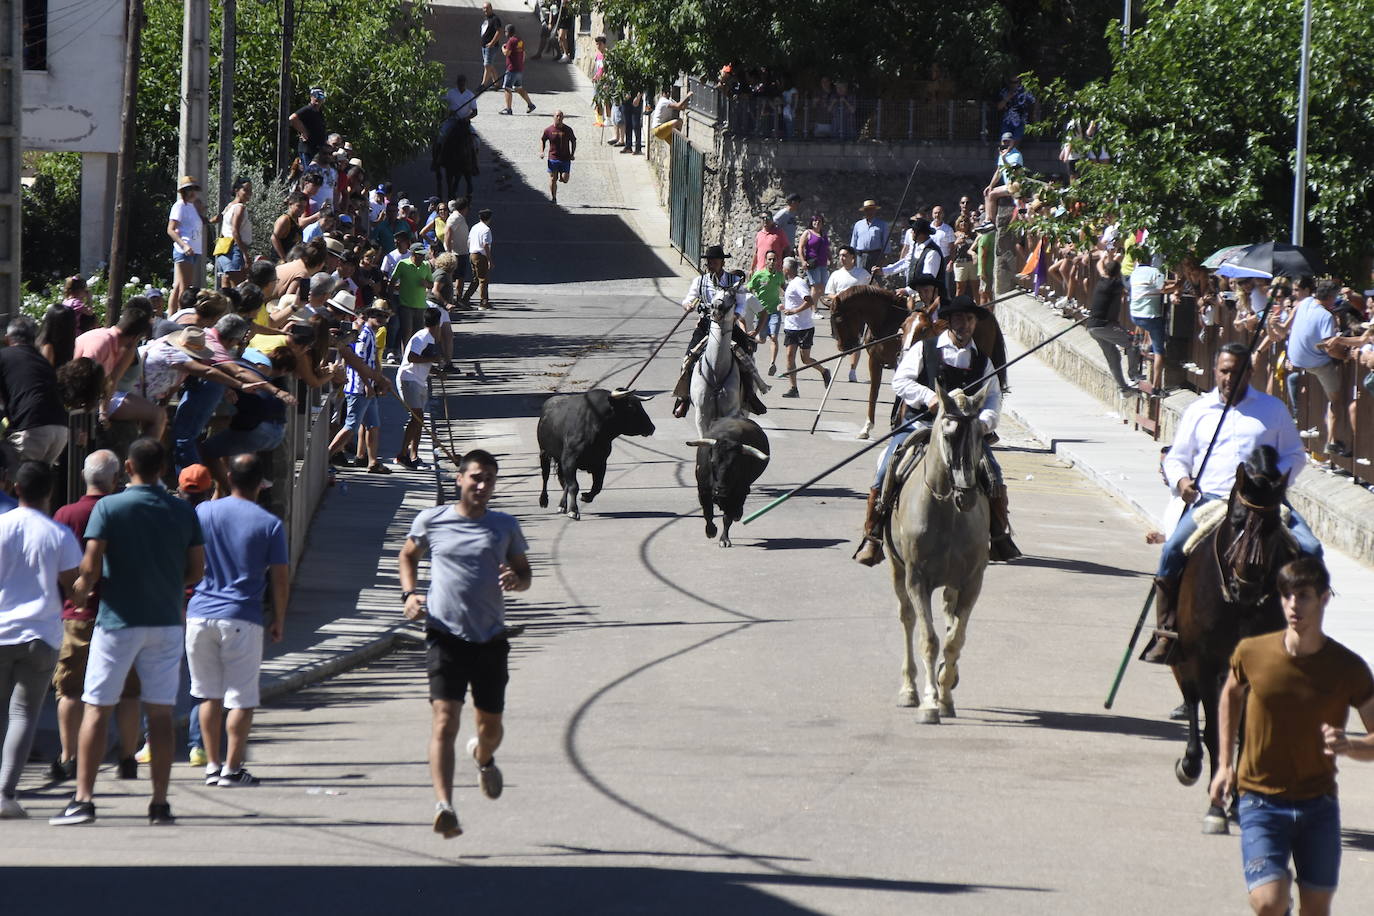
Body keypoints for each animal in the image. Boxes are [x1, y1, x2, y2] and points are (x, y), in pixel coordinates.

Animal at [535, 387, 654, 519]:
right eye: (631, 407)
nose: (651, 427)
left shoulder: (600, 462)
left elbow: (597, 486)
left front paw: (586, 497)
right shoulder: (570, 460)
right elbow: (574, 486)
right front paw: (574, 511)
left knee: (564, 481)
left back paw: (562, 505)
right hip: (544, 453)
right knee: (546, 476)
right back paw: (544, 500)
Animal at [692, 281, 747, 439]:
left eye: (733, 296)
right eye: (714, 293)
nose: (716, 308)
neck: (716, 370)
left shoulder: (731, 412)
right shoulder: (701, 414)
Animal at [824, 288, 1011, 442]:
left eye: (839, 318)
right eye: (833, 319)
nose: (844, 347)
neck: (887, 321)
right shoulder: (876, 361)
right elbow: (874, 394)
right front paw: (868, 427)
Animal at [884, 381, 994, 725]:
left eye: (980, 435)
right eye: (947, 435)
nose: (967, 495)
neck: (948, 512)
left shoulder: (972, 583)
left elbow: (954, 640)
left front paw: (945, 695)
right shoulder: (917, 579)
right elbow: (929, 640)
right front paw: (930, 702)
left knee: (948, 616)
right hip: (897, 569)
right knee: (907, 619)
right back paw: (909, 689)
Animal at [1170, 447, 1286, 834]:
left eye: (1273, 526)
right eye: (1237, 520)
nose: (1247, 584)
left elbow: (1245, 735)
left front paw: (1235, 799)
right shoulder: (1206, 663)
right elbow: (1215, 732)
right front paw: (1216, 806)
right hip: (1184, 660)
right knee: (1191, 703)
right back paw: (1190, 766)